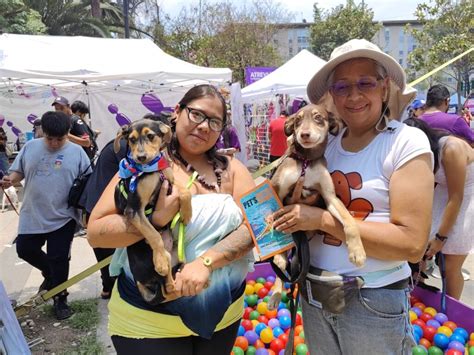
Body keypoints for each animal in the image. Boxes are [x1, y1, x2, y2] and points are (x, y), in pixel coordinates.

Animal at [114, 119, 192, 306]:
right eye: (132, 139)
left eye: (150, 136)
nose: (141, 157)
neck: (152, 169)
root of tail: (138, 281)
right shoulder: (133, 210)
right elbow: (153, 234)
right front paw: (160, 261)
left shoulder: (170, 182)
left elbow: (185, 191)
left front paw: (186, 213)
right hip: (155, 267)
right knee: (167, 288)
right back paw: (164, 265)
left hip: (177, 255)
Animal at [266, 104, 366, 310]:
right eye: (297, 120)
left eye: (318, 118)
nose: (303, 134)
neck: (306, 161)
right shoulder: (277, 190)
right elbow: (275, 220)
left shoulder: (329, 196)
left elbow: (349, 221)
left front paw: (357, 252)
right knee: (282, 268)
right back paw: (276, 292)